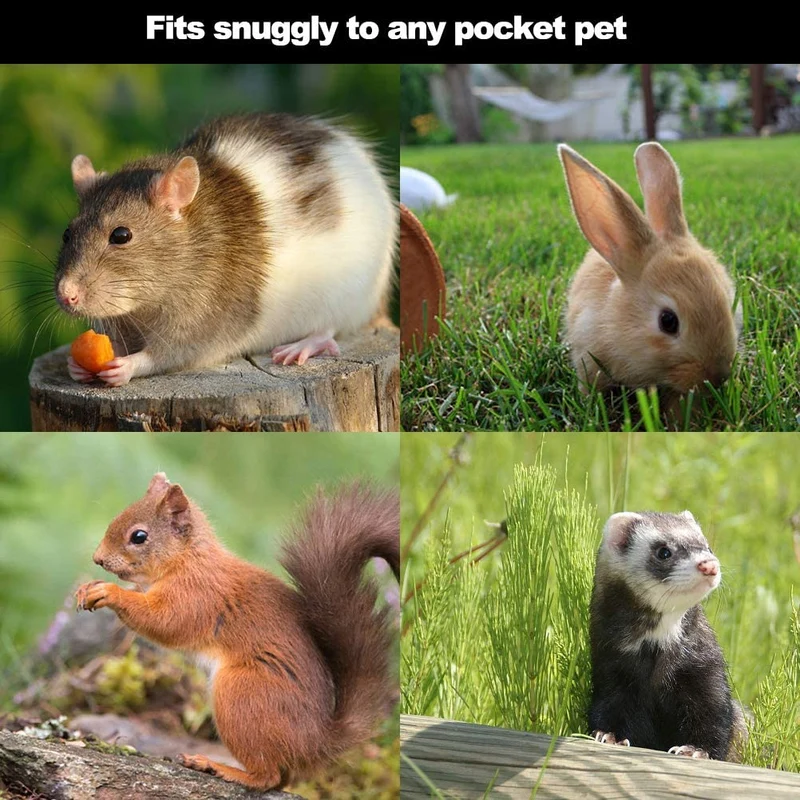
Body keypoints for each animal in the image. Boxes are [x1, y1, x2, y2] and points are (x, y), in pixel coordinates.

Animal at [75, 472, 399, 791]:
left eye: (139, 537)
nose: (97, 559)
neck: (187, 559)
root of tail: (315, 743)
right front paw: (88, 587)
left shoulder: (197, 595)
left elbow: (164, 621)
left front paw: (110, 592)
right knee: (283, 778)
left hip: (241, 695)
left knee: (268, 777)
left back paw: (219, 767)